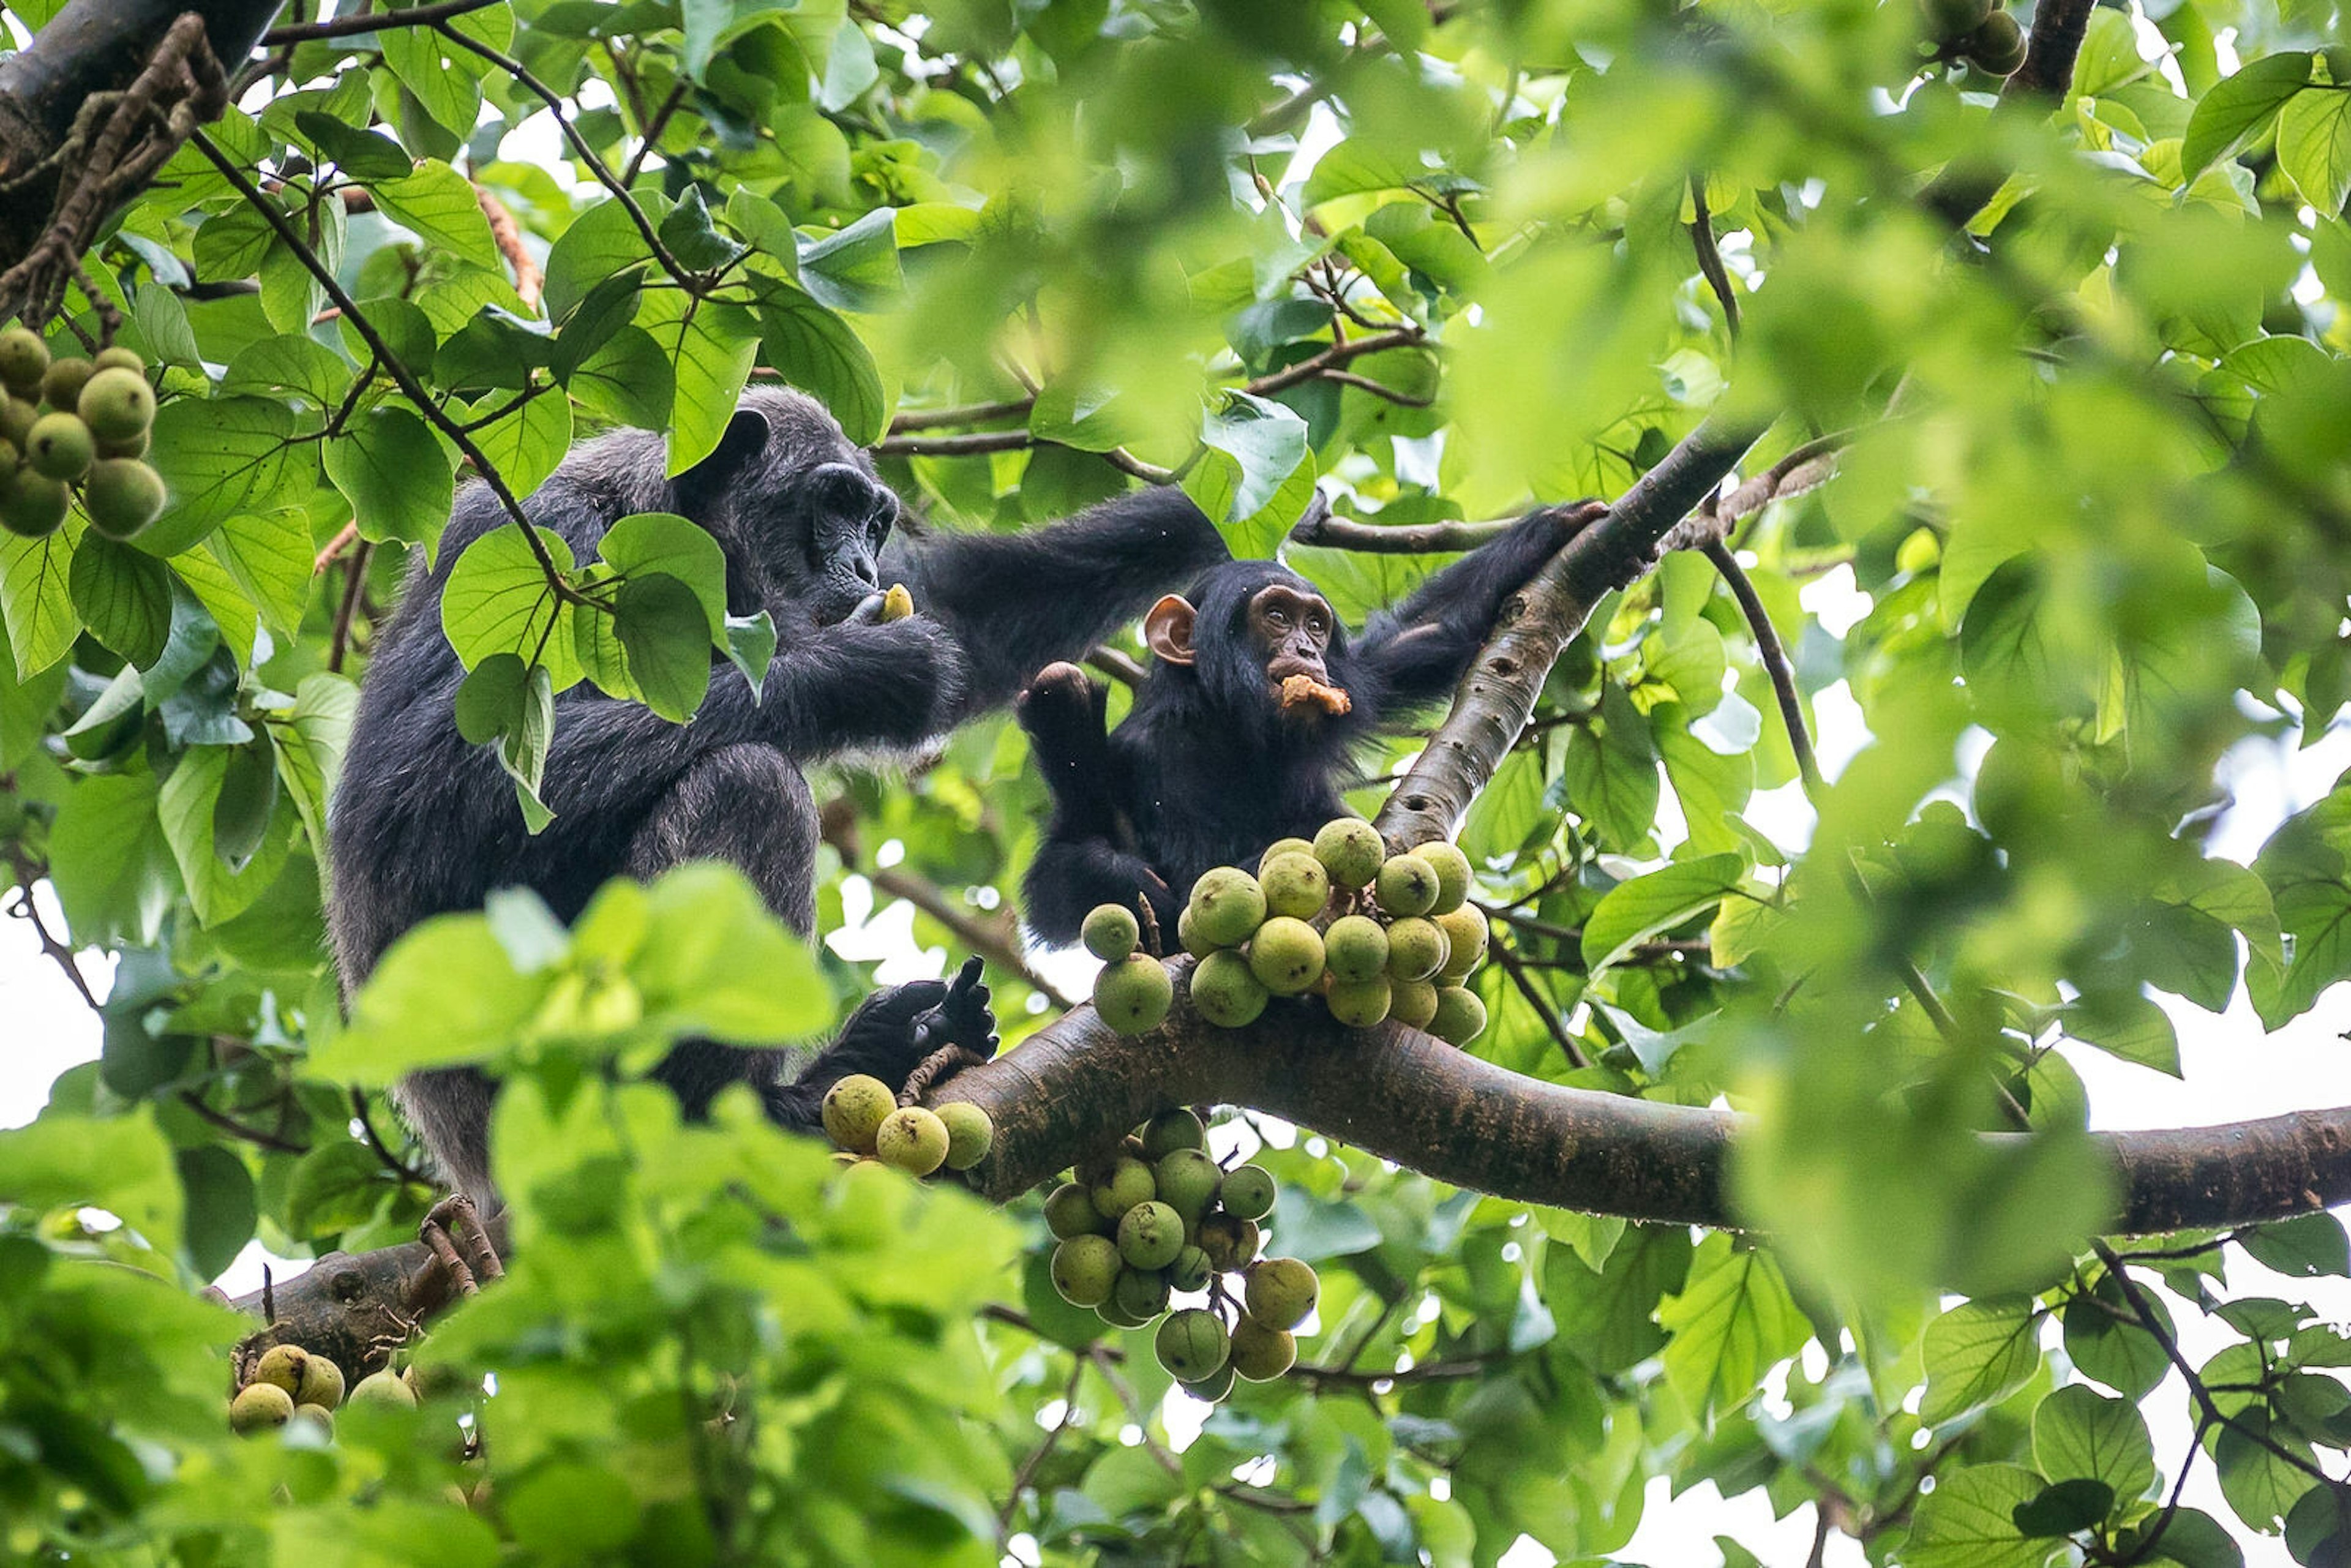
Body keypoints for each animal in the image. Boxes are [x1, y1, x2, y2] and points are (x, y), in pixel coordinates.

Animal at [340, 390, 1241, 1203]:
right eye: (835, 504)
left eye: (878, 523)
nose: (867, 565)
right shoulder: (532, 538)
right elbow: (427, 793)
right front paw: (864, 669)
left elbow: (968, 609)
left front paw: (1202, 515)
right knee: (750, 785)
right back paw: (739, 1111)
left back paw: (892, 1044)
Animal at [1020, 503, 1608, 945]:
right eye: (1277, 616)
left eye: (1317, 624)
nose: (1306, 649)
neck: (1231, 725)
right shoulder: (1139, 755)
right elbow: (1064, 882)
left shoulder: (1358, 680)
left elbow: (1426, 632)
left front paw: (1555, 525)